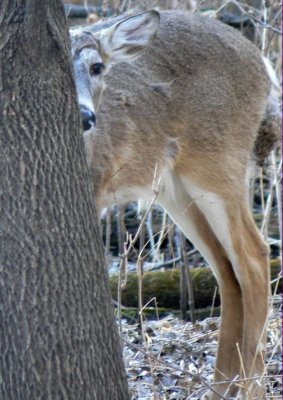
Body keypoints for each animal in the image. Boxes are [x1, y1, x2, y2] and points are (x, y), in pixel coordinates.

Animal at [70, 9, 280, 400]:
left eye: (96, 67)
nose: (86, 117)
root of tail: (262, 62)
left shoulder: (96, 187)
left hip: (218, 164)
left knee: (254, 256)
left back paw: (252, 386)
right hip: (175, 189)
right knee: (227, 270)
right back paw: (222, 385)